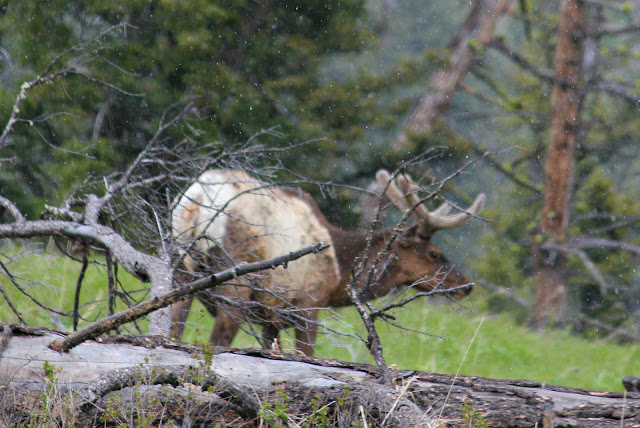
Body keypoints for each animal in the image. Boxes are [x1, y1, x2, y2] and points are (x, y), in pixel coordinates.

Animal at [172, 169, 482, 356]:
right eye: (433, 253)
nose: (466, 285)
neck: (340, 274)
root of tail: (199, 197)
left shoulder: (270, 316)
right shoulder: (309, 302)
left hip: (179, 266)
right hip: (236, 278)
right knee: (216, 342)